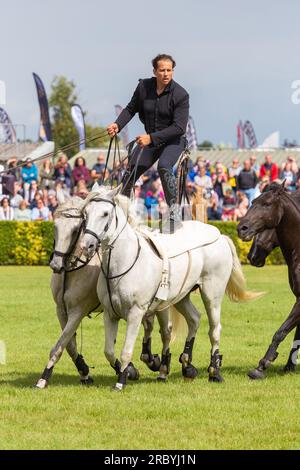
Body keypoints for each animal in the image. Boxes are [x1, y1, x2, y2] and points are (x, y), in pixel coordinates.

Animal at [35, 191, 171, 390]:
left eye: (76, 229)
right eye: (55, 226)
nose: (56, 265)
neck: (74, 269)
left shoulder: (78, 310)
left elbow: (61, 344)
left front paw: (44, 377)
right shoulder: (61, 310)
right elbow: (69, 345)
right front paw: (84, 372)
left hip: (161, 305)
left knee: (164, 331)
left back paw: (160, 366)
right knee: (148, 325)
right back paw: (151, 359)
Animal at [81, 189, 258, 392]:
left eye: (105, 213)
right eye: (85, 213)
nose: (86, 245)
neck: (122, 262)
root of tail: (220, 235)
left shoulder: (136, 313)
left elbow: (126, 350)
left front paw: (121, 381)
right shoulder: (110, 314)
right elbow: (109, 351)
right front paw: (130, 370)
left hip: (211, 295)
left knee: (214, 330)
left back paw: (214, 371)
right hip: (182, 296)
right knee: (194, 319)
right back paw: (186, 364)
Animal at [239, 183, 300, 378]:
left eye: (266, 204)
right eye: (252, 202)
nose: (241, 228)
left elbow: (281, 332)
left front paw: (262, 365)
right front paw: (288, 366)